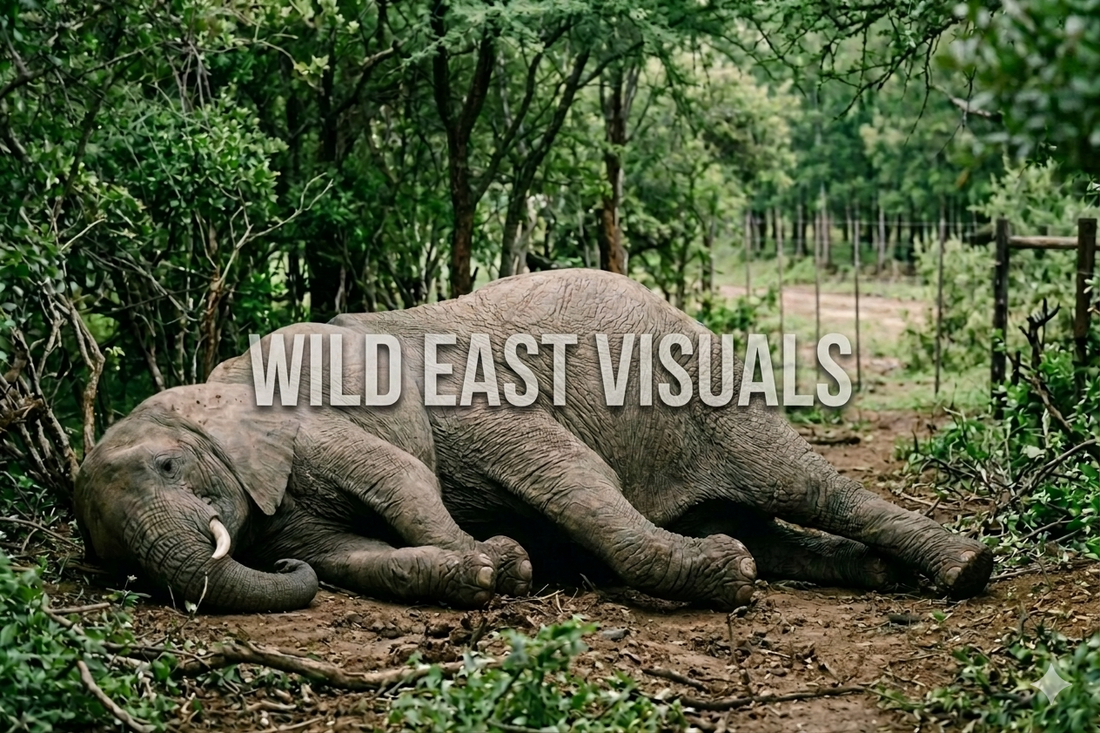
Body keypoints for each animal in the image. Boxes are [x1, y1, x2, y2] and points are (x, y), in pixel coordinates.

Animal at [74, 269, 993, 613]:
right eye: (114, 561)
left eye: (170, 463)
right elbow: (345, 555)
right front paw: (491, 568)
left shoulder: (358, 418)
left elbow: (434, 477)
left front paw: (505, 562)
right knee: (770, 528)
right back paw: (867, 574)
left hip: (710, 387)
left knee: (800, 483)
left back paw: (965, 569)